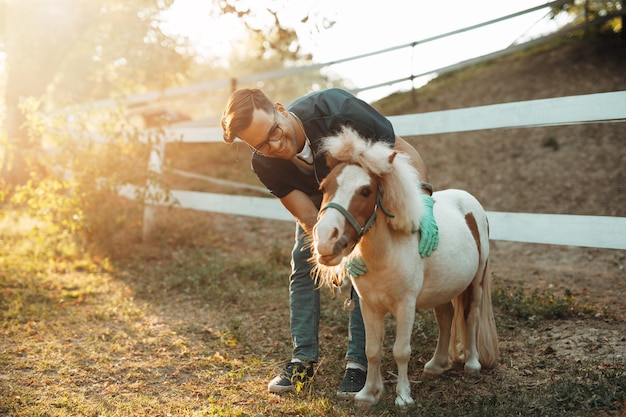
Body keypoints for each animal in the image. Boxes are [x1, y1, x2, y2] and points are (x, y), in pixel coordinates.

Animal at [312, 126, 498, 406]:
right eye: (324, 186)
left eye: (366, 191)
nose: (325, 239)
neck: (385, 255)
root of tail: (469, 201)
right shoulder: (368, 306)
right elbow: (372, 350)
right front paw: (368, 394)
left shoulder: (405, 305)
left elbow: (401, 351)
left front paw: (403, 397)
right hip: (443, 289)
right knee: (446, 318)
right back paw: (436, 364)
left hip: (476, 281)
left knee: (471, 316)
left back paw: (473, 364)